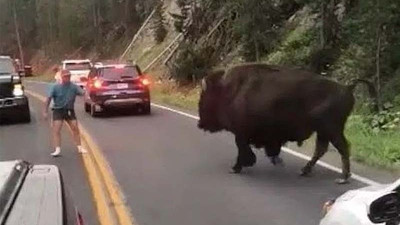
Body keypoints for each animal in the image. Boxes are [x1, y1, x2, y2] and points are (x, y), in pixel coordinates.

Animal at [197, 62, 376, 184]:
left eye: (205, 98)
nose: (200, 124)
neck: (228, 89)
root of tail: (347, 87)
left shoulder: (241, 134)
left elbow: (243, 150)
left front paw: (236, 168)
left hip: (331, 129)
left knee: (342, 148)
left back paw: (343, 178)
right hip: (323, 131)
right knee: (322, 149)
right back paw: (304, 171)